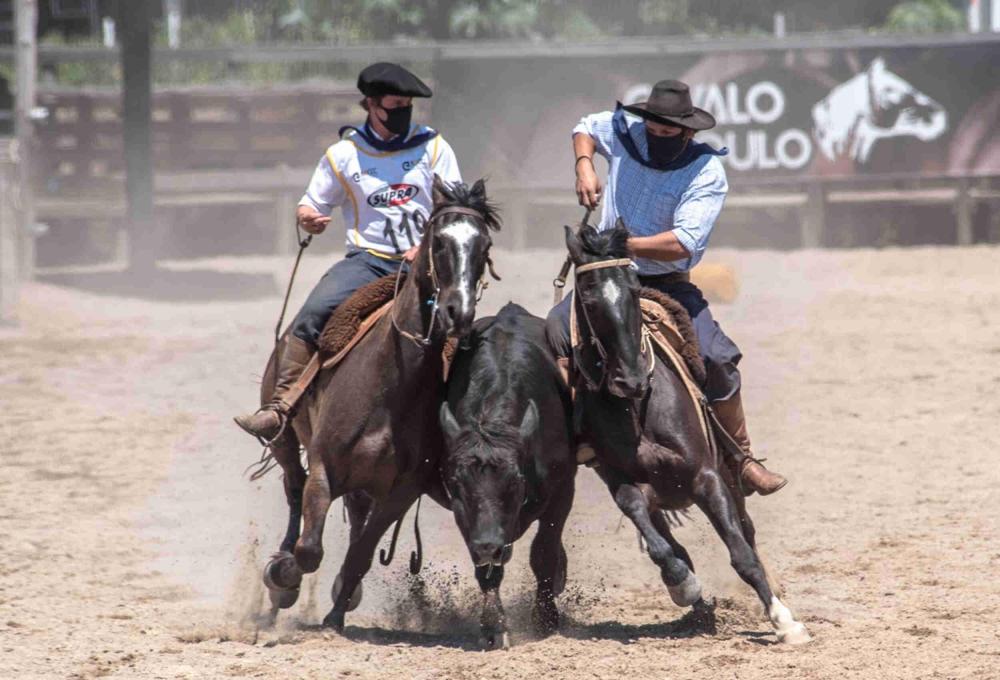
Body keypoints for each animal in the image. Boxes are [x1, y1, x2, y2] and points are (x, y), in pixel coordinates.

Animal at [254, 178, 496, 628]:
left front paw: (336, 615)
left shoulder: (399, 492)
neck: (389, 386)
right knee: (293, 487)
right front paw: (284, 576)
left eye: (484, 245)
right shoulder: (324, 469)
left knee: (354, 522)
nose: (458, 311)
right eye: (439, 241)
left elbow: (361, 555)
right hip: (285, 440)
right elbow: (309, 549)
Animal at [440, 302, 576, 648]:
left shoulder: (562, 491)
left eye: (516, 480)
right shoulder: (467, 518)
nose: (490, 545)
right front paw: (493, 624)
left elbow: (543, 553)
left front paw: (546, 618)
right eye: (458, 483)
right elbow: (486, 569)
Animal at [564, 223, 812, 644]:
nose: (630, 379)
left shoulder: (707, 478)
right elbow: (662, 545)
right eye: (588, 298)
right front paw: (684, 585)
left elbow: (741, 554)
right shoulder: (623, 483)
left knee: (746, 531)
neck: (638, 408)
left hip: (730, 477)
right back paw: (697, 606)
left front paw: (785, 622)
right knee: (670, 541)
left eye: (633, 290)